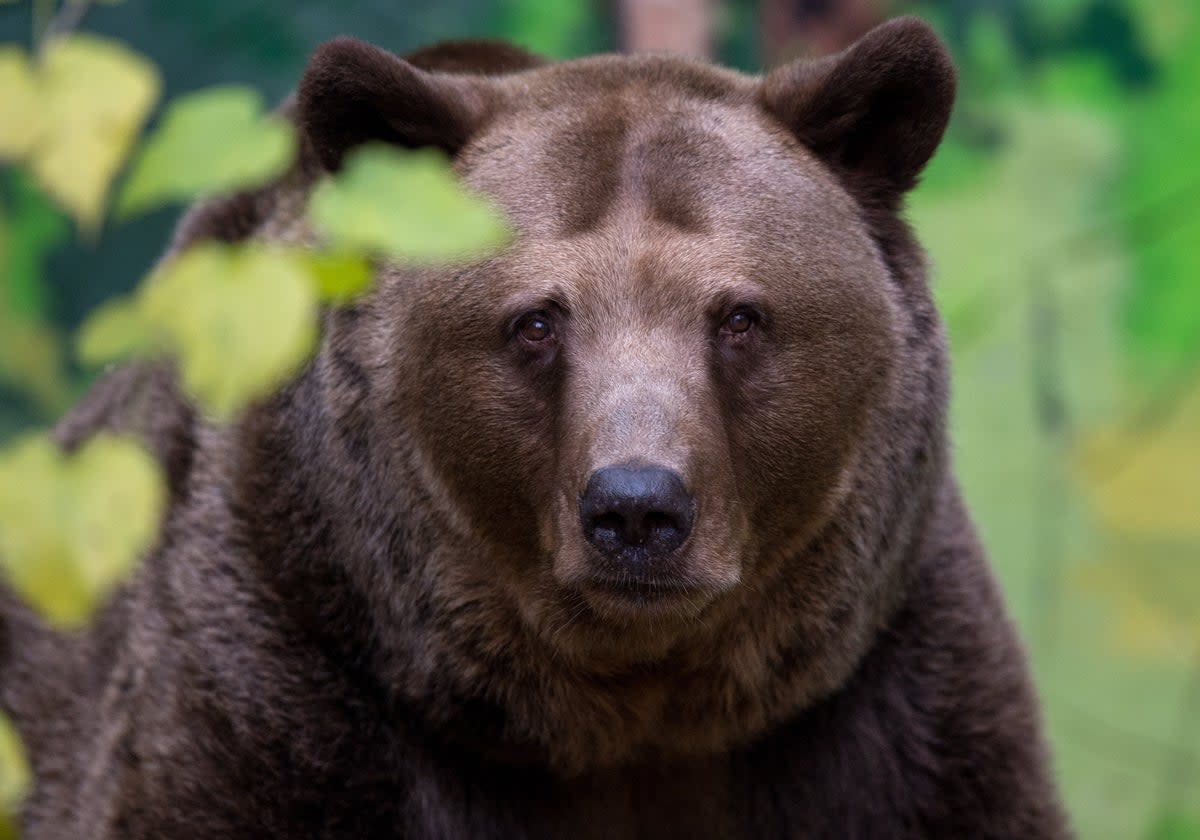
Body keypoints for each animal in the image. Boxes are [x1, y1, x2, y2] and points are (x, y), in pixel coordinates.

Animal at [0, 16, 1070, 835]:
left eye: (739, 315)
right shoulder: (279, 670)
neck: (628, 714)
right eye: (536, 321)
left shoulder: (887, 705)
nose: (637, 509)